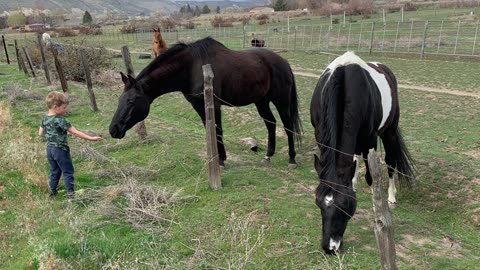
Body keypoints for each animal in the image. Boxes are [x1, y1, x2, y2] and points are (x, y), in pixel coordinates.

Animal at [110, 37, 302, 169]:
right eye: (120, 100)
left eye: (131, 101)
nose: (113, 129)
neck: (191, 68)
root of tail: (284, 62)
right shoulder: (199, 106)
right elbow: (210, 130)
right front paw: (215, 158)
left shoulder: (214, 105)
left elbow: (218, 130)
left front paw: (221, 161)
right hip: (261, 101)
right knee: (271, 124)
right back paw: (268, 156)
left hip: (281, 101)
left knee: (287, 126)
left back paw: (292, 159)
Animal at [310, 51, 414, 254]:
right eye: (318, 203)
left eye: (344, 206)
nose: (329, 247)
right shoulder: (320, 135)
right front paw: (353, 183)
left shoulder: (370, 141)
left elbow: (372, 177)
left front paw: (378, 208)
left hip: (390, 131)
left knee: (390, 161)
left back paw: (391, 196)